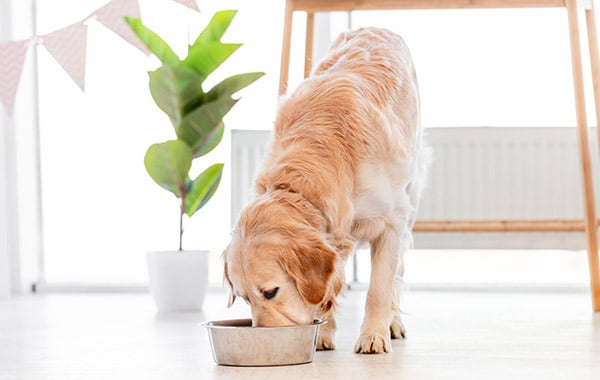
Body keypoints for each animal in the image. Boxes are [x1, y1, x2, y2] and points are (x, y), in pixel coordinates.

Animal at [221, 28, 426, 354]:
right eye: (243, 297)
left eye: (271, 292)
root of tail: (377, 28)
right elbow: (326, 289)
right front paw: (323, 333)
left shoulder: (392, 222)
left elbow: (379, 288)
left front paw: (373, 336)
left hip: (411, 197)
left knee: (398, 272)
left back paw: (392, 323)